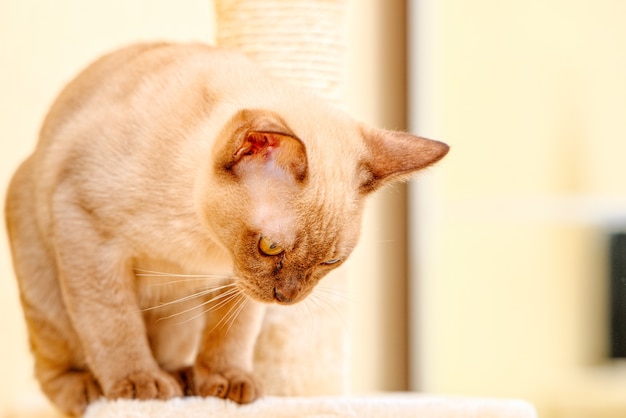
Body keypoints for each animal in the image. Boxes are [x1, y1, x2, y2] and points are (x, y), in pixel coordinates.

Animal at [2, 42, 446, 414]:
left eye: (330, 262)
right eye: (270, 247)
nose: (287, 298)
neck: (206, 246)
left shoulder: (233, 284)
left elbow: (232, 334)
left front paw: (225, 383)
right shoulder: (87, 228)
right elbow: (114, 323)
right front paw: (138, 387)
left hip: (177, 316)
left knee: (173, 352)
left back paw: (185, 379)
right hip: (48, 286)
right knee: (56, 366)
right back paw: (100, 388)